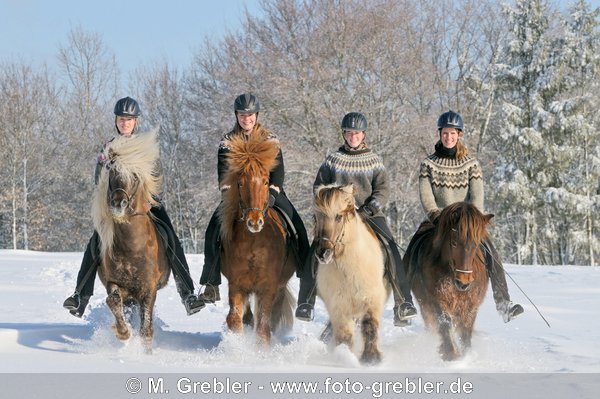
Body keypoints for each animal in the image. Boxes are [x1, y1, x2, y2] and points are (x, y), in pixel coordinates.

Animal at [92, 129, 170, 354]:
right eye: (111, 173)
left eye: (135, 176)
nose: (118, 203)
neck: (132, 247)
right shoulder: (114, 283)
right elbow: (113, 301)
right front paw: (123, 333)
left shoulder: (149, 290)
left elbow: (146, 330)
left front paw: (146, 354)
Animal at [219, 135, 296, 346]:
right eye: (240, 183)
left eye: (266, 181)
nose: (254, 221)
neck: (254, 241)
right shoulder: (237, 285)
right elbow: (234, 319)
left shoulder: (267, 287)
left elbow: (263, 327)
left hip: (279, 288)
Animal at [312, 184, 386, 366]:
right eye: (316, 217)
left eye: (338, 217)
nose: (323, 253)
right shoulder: (338, 306)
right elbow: (344, 334)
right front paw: (345, 357)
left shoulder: (373, 300)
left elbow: (370, 326)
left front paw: (371, 358)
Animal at [404, 202, 492, 360]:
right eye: (454, 243)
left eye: (476, 244)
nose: (464, 282)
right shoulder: (436, 300)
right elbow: (444, 324)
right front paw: (450, 353)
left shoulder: (471, 304)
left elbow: (466, 330)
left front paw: (466, 353)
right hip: (424, 305)